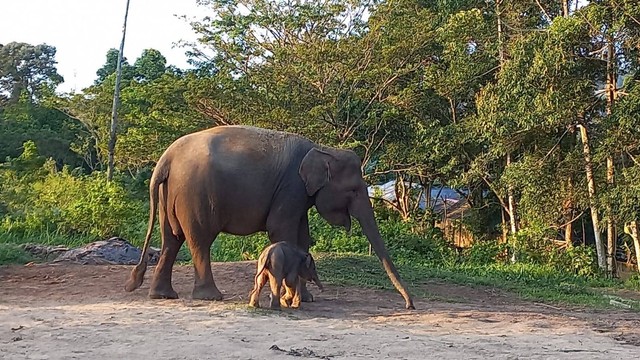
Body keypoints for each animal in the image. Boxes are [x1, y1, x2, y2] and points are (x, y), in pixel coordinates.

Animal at [125, 124, 416, 310]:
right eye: (354, 190)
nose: (409, 305)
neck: (322, 149)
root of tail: (166, 158)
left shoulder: (299, 195)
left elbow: (303, 235)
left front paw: (306, 299)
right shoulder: (291, 186)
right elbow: (282, 230)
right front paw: (296, 299)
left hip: (170, 195)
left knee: (171, 239)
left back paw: (163, 296)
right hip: (194, 194)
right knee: (199, 240)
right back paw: (211, 297)